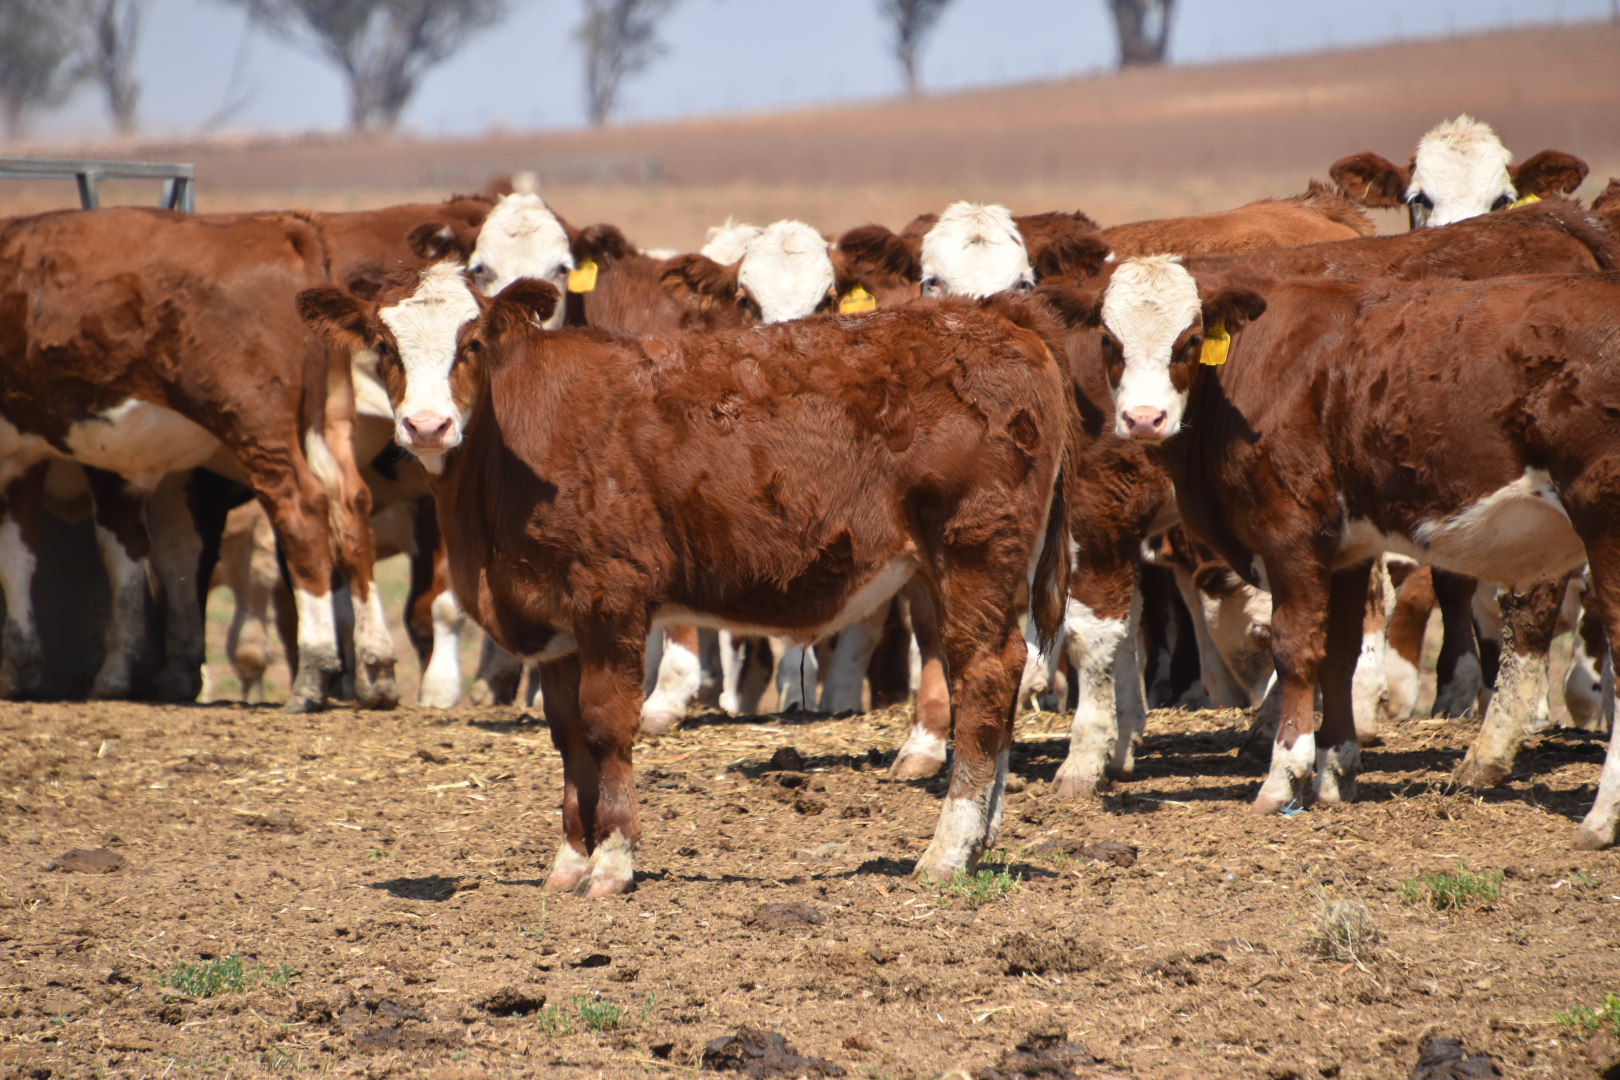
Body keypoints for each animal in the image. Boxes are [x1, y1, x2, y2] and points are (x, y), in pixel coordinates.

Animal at [298, 264, 1071, 893]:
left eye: (473, 343)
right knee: (1000, 675)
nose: (426, 425)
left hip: (973, 549)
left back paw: (947, 851)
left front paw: (612, 863)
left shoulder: (610, 596)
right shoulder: (553, 622)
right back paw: (982, 838)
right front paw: (569, 863)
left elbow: (608, 724)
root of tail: (995, 314)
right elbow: (568, 735)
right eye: (385, 346)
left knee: (984, 676)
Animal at [1062, 255, 1620, 852]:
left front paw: (1284, 776)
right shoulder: (1346, 552)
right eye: (1109, 340)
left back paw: (1598, 817)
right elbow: (1339, 653)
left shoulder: (1292, 534)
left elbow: (1296, 649)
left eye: (1189, 341)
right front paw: (1335, 773)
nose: (1144, 419)